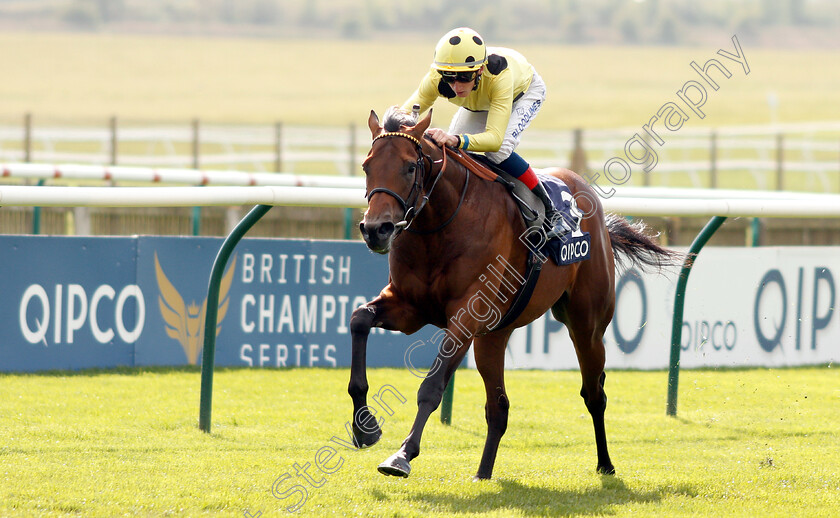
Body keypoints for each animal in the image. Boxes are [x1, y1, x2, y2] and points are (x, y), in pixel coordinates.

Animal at [348, 107, 676, 482]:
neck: (441, 226)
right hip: (494, 335)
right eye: (366, 166)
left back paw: (605, 464)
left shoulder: (466, 318)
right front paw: (364, 427)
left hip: (587, 325)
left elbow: (431, 387)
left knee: (594, 393)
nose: (376, 230)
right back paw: (482, 473)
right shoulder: (410, 308)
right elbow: (359, 319)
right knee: (499, 407)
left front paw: (402, 455)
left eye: (409, 167)